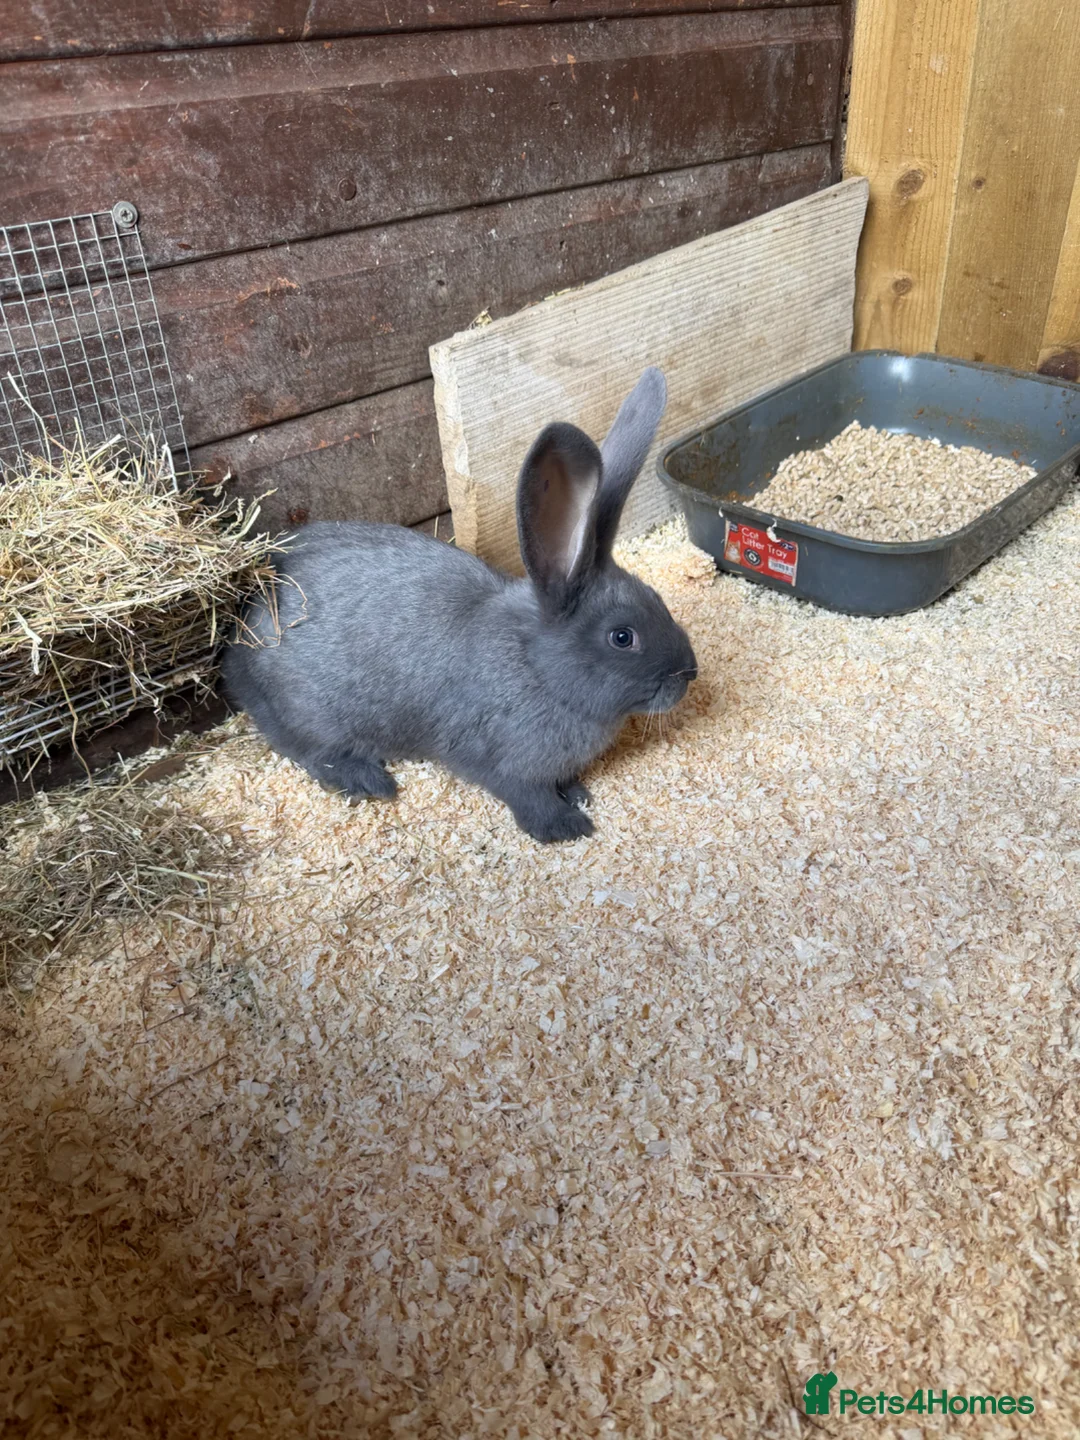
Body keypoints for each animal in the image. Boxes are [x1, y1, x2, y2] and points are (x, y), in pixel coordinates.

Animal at [221, 366, 697, 843]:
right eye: (622, 637)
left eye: (657, 599)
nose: (690, 673)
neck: (537, 668)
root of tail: (238, 642)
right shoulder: (504, 764)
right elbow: (529, 796)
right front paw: (567, 827)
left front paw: (578, 794)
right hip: (311, 715)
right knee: (309, 751)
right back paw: (370, 782)